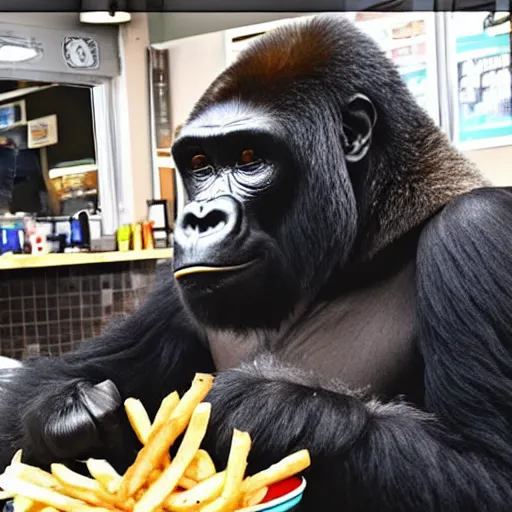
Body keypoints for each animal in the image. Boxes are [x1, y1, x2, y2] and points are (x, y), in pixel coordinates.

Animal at [1, 14, 512, 510]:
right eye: (200, 163)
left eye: (250, 158)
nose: (198, 218)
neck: (372, 238)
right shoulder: (175, 282)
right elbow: (35, 387)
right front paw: (66, 412)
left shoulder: (478, 229)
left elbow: (488, 471)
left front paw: (262, 405)